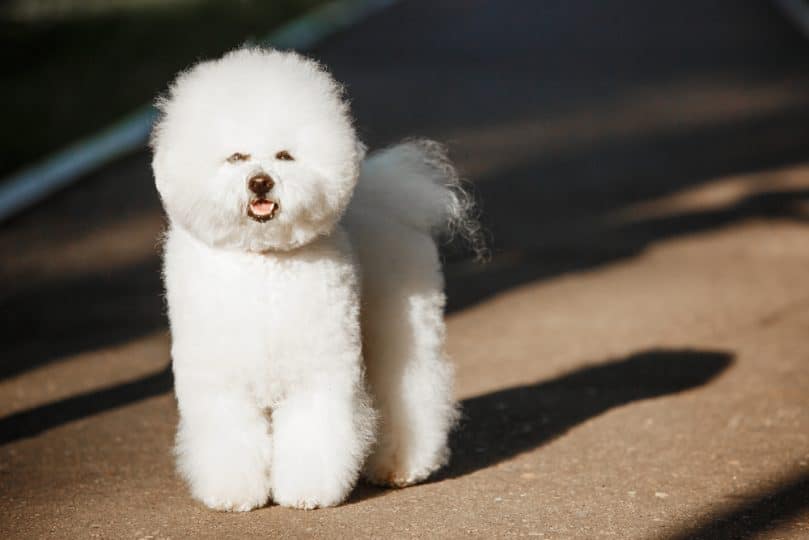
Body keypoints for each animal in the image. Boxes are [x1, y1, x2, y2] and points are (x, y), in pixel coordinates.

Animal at [152, 46, 480, 510]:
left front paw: (308, 492)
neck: (265, 263)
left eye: (285, 156)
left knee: (412, 389)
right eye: (236, 157)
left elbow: (315, 431)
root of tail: (386, 201)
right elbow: (231, 437)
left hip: (404, 330)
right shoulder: (221, 382)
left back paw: (402, 465)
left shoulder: (318, 371)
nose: (260, 183)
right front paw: (234, 494)